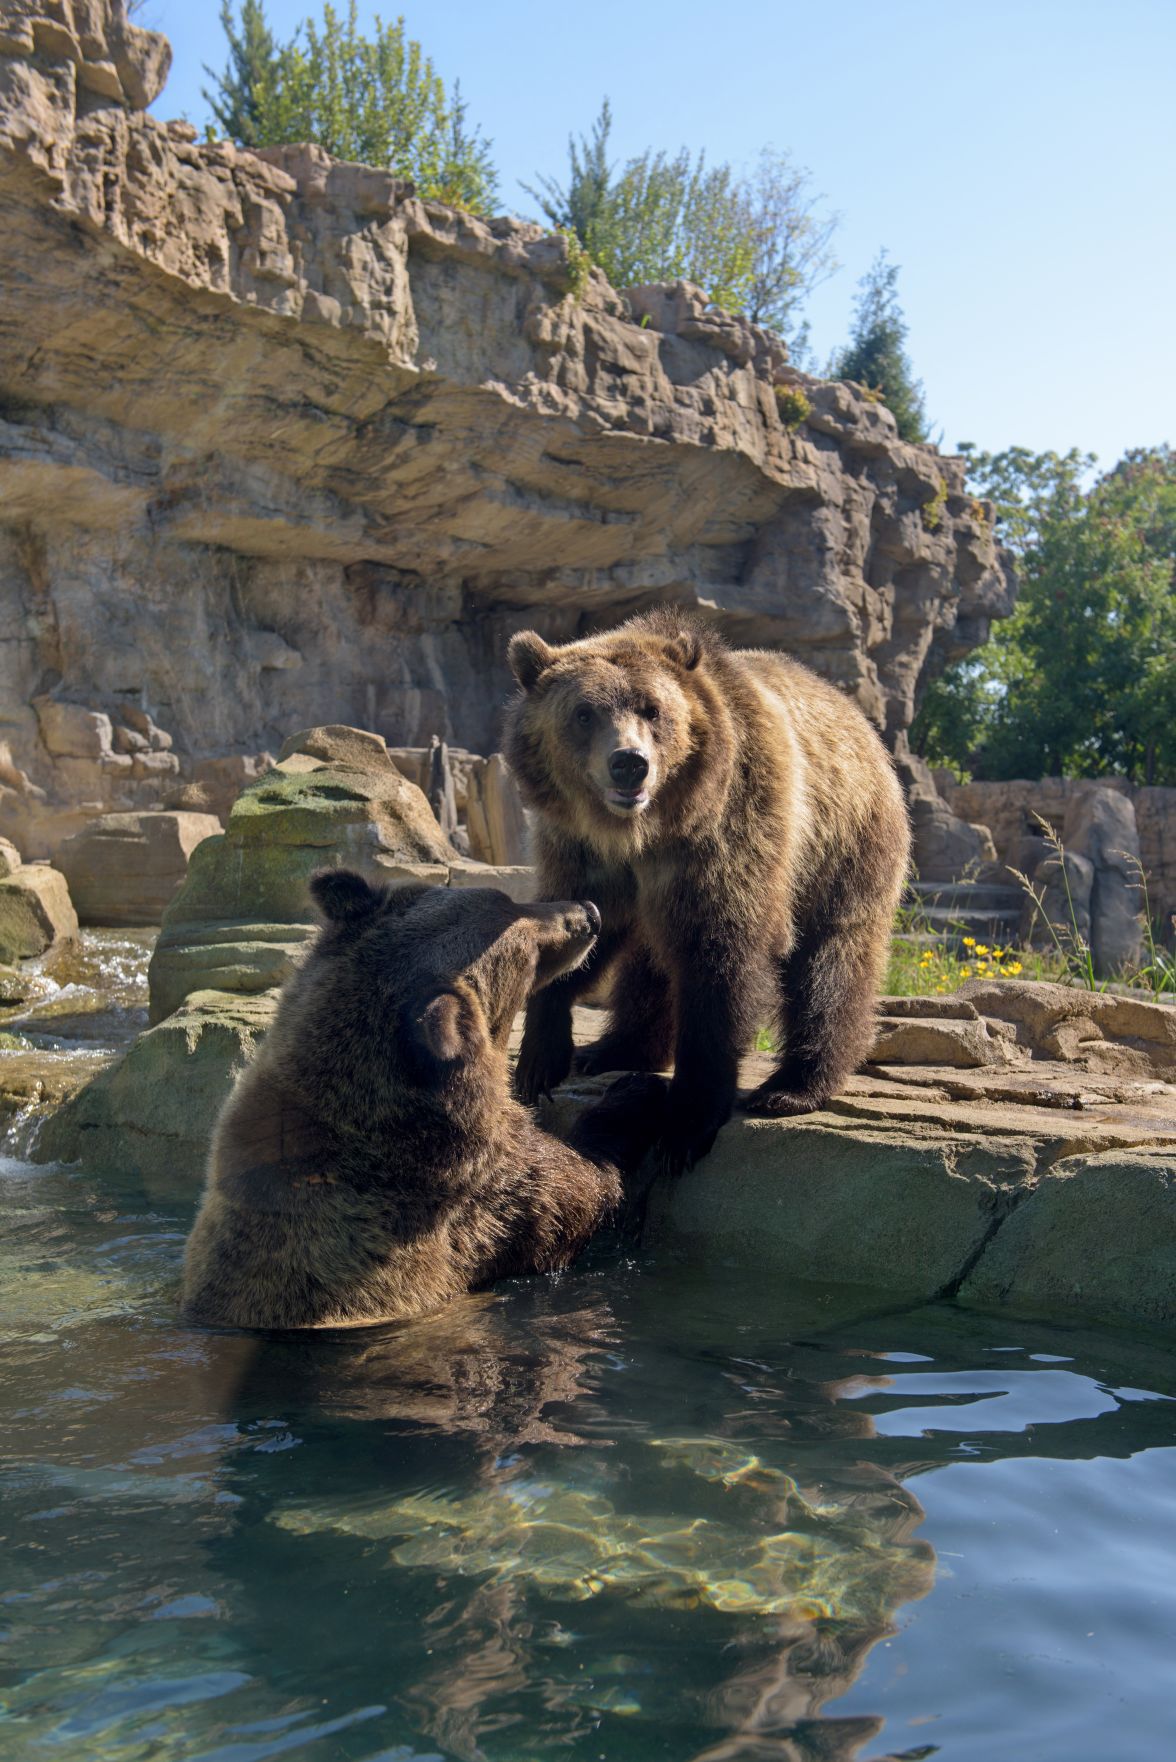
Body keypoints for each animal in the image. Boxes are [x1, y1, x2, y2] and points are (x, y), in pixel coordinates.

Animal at [179, 873, 666, 1325]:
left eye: (506, 899)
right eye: (528, 953)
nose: (588, 913)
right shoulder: (488, 1203)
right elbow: (578, 1188)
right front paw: (634, 1095)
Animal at [504, 606, 909, 1169]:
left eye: (653, 710)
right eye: (584, 713)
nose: (629, 763)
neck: (642, 832)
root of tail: (861, 722)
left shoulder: (727, 833)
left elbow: (719, 959)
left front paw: (685, 1125)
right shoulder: (579, 851)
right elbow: (577, 921)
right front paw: (541, 1058)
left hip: (845, 848)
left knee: (832, 963)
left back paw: (793, 1087)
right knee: (649, 962)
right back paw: (611, 1049)